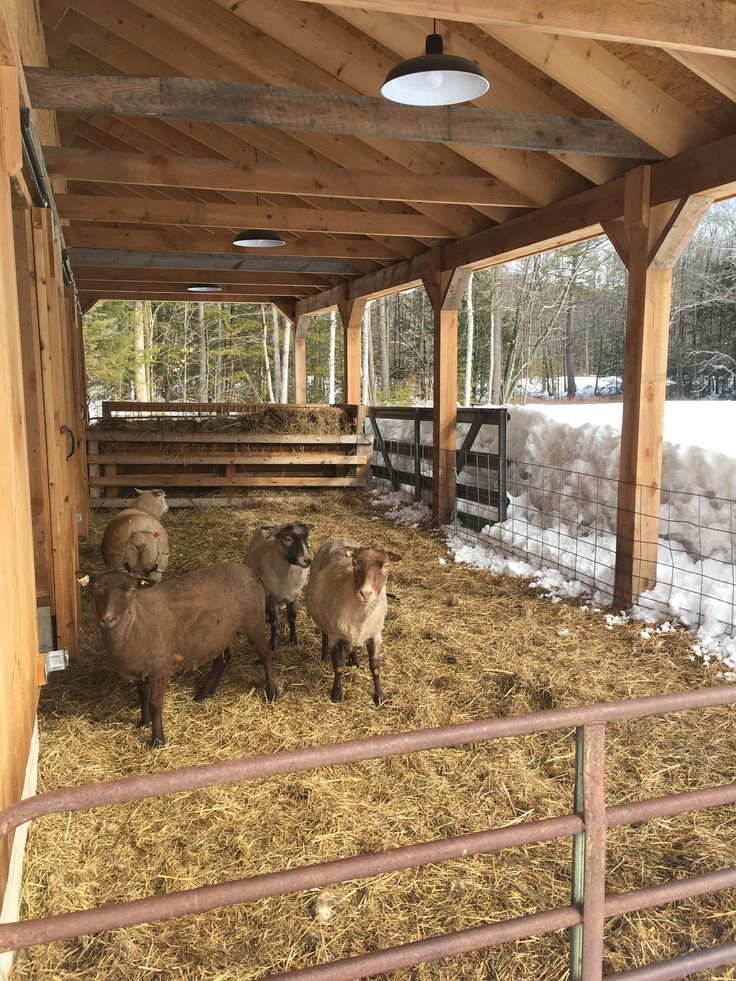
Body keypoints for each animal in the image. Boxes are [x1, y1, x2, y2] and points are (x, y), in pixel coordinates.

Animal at [79, 564, 278, 748]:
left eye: (131, 591)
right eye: (96, 587)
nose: (107, 619)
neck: (136, 622)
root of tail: (249, 570)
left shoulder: (161, 668)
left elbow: (155, 704)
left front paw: (158, 740)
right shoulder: (141, 667)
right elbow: (142, 695)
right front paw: (144, 722)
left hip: (254, 622)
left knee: (265, 654)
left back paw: (272, 692)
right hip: (220, 633)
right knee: (223, 659)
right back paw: (204, 693)